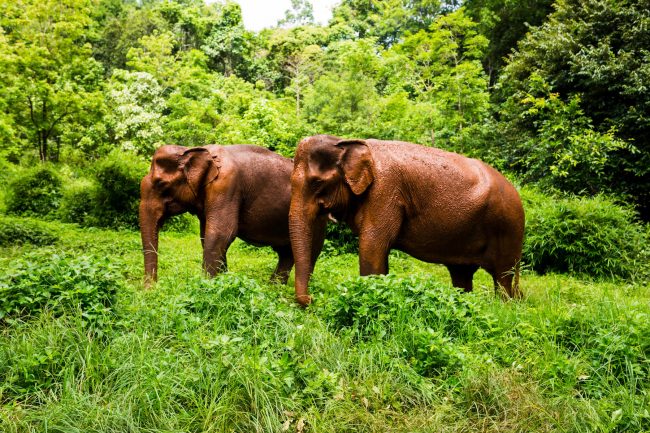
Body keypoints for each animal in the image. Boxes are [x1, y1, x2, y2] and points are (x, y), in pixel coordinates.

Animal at [141, 143, 294, 284]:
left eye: (161, 183)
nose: (151, 288)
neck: (190, 149)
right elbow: (206, 235)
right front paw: (223, 279)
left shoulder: (226, 185)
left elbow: (220, 233)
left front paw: (207, 285)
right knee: (287, 253)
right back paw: (274, 287)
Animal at [292, 133, 524, 306]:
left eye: (316, 182)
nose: (312, 299)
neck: (345, 141)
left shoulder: (385, 192)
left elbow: (372, 246)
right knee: (462, 275)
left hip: (508, 226)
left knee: (503, 276)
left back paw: (506, 306)